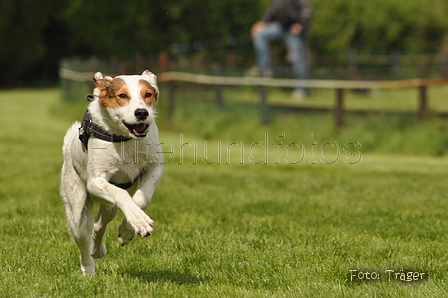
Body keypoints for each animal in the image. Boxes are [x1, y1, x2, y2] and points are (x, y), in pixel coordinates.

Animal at [60, 70, 164, 274]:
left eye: (148, 94)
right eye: (122, 96)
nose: (142, 113)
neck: (125, 139)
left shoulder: (154, 166)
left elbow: (141, 198)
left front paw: (128, 229)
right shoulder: (95, 181)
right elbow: (121, 194)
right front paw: (139, 221)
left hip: (110, 208)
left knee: (100, 222)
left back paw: (98, 248)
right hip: (77, 208)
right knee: (83, 238)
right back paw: (88, 269)